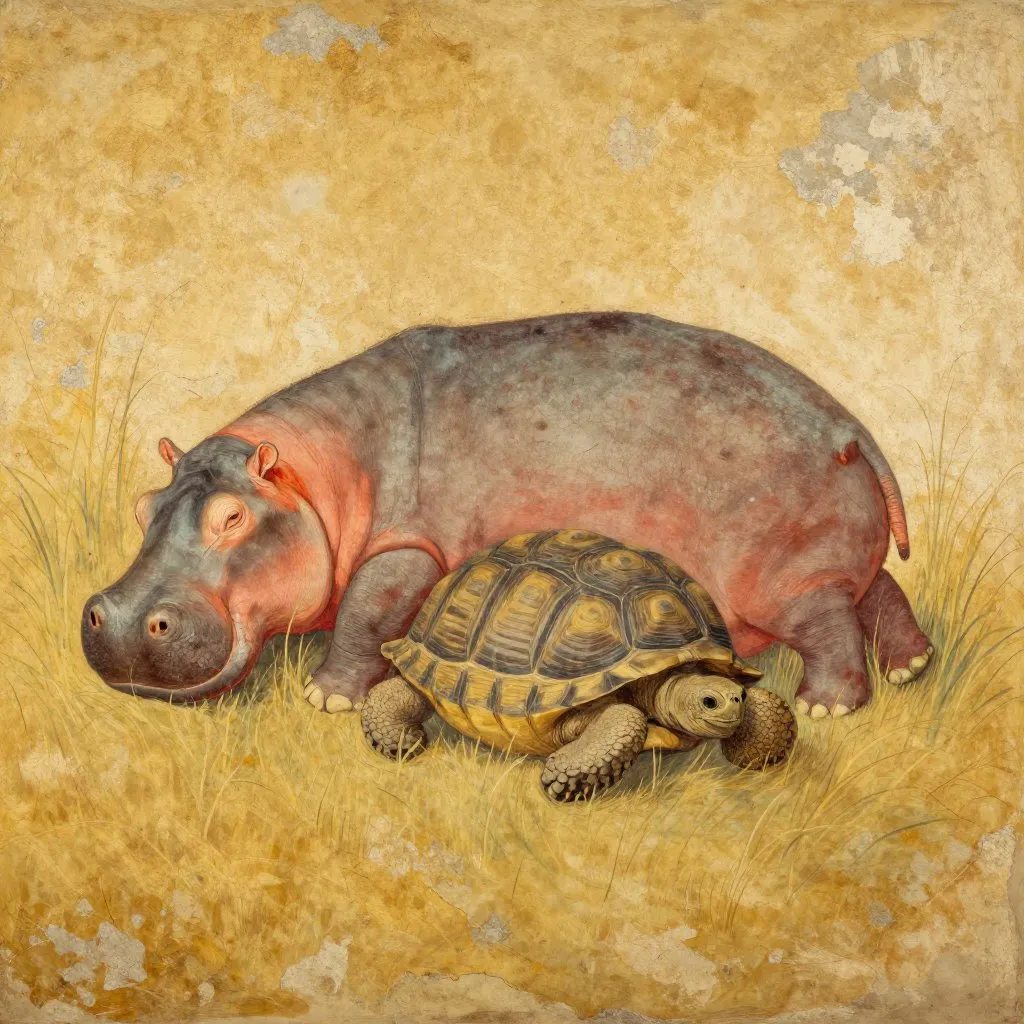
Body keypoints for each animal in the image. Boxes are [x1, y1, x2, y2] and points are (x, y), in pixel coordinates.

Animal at [82, 311, 932, 720]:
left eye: (231, 518)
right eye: (144, 505)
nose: (117, 617)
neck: (313, 475)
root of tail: (850, 430)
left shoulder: (410, 546)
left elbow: (366, 608)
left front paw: (326, 697)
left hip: (783, 582)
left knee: (831, 624)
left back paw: (827, 706)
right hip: (834, 557)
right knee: (879, 590)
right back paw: (913, 667)